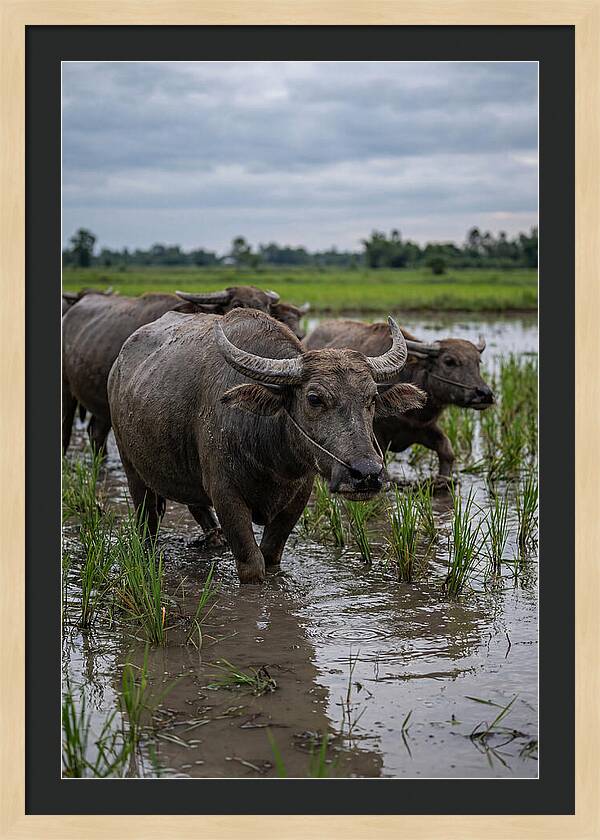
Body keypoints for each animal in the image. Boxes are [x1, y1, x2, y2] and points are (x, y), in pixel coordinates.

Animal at [108, 310, 425, 583]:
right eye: (314, 398)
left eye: (372, 398)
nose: (367, 473)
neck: (272, 458)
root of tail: (118, 366)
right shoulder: (226, 495)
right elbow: (252, 565)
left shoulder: (298, 496)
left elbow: (271, 556)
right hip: (131, 467)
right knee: (147, 520)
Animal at [305, 319, 494, 481]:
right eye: (449, 361)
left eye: (478, 362)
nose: (485, 394)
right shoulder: (376, 437)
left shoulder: (424, 428)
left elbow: (447, 450)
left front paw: (443, 480)